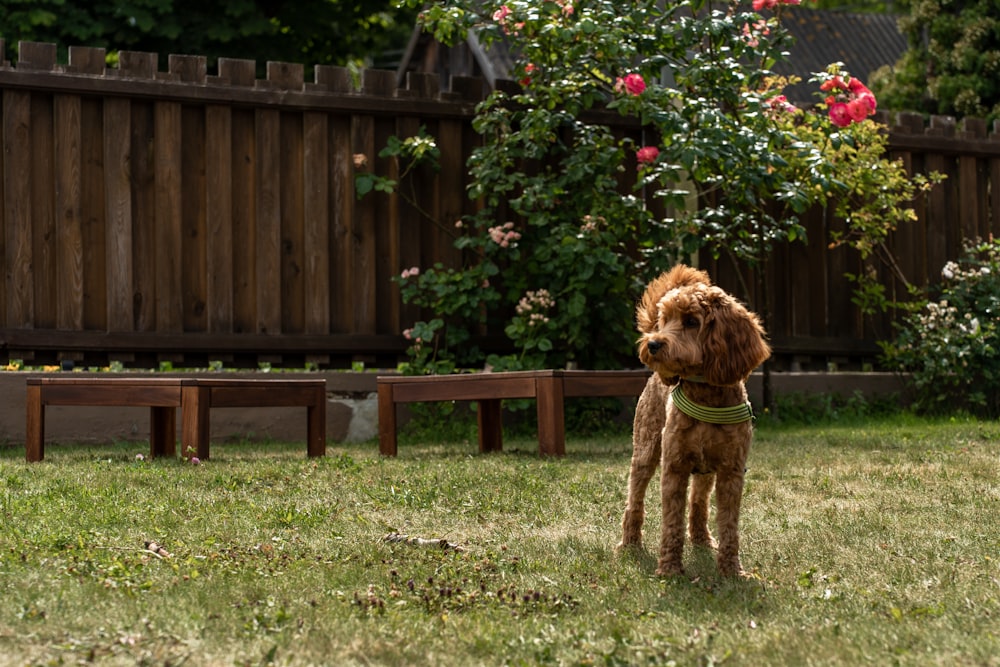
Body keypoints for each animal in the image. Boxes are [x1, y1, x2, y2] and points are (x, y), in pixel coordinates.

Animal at [616, 264, 772, 576]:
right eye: (664, 320)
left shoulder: (731, 471)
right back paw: (630, 543)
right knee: (634, 500)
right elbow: (671, 523)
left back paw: (701, 539)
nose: (653, 344)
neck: (705, 395)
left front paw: (731, 570)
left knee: (698, 502)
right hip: (646, 450)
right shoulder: (674, 466)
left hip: (706, 469)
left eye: (691, 321)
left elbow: (729, 524)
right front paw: (669, 569)